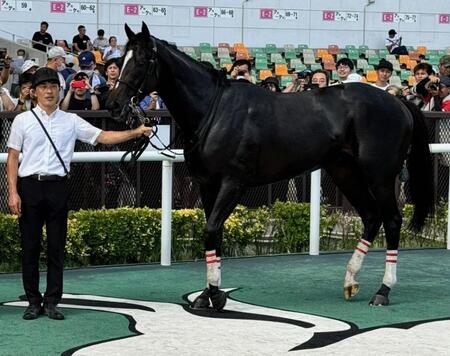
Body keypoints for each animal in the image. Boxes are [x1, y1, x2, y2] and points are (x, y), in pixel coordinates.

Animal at [107, 23, 434, 310]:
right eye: (120, 61)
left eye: (141, 61)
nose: (114, 105)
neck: (214, 110)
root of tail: (399, 103)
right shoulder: (207, 184)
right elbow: (214, 233)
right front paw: (208, 294)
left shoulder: (233, 183)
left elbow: (212, 230)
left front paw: (214, 295)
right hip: (345, 172)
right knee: (370, 216)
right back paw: (350, 282)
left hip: (380, 176)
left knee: (392, 220)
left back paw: (383, 291)